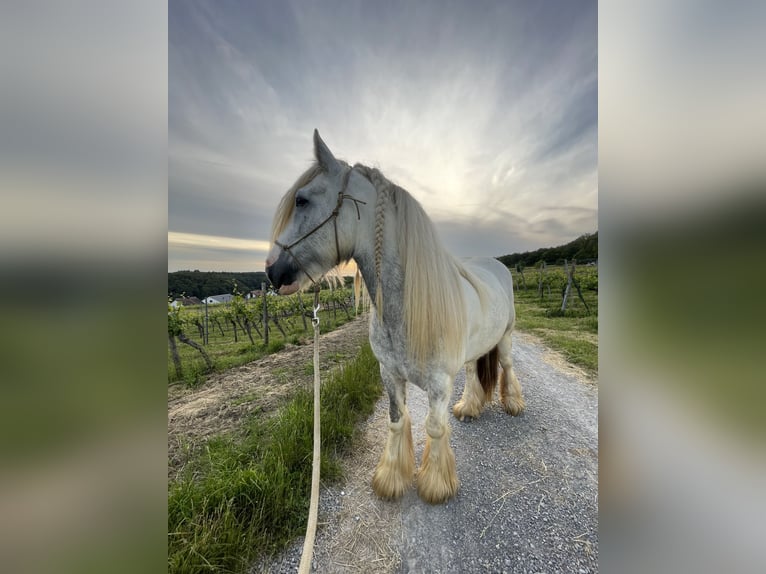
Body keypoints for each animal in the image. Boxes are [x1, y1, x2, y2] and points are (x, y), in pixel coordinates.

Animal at [268, 130, 524, 504]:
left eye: (301, 200)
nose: (273, 271)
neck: (403, 310)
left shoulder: (438, 385)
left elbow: (435, 427)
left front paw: (435, 485)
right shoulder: (389, 374)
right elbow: (396, 421)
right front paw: (391, 478)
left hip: (505, 338)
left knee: (506, 366)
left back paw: (514, 404)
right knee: (473, 373)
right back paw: (468, 408)